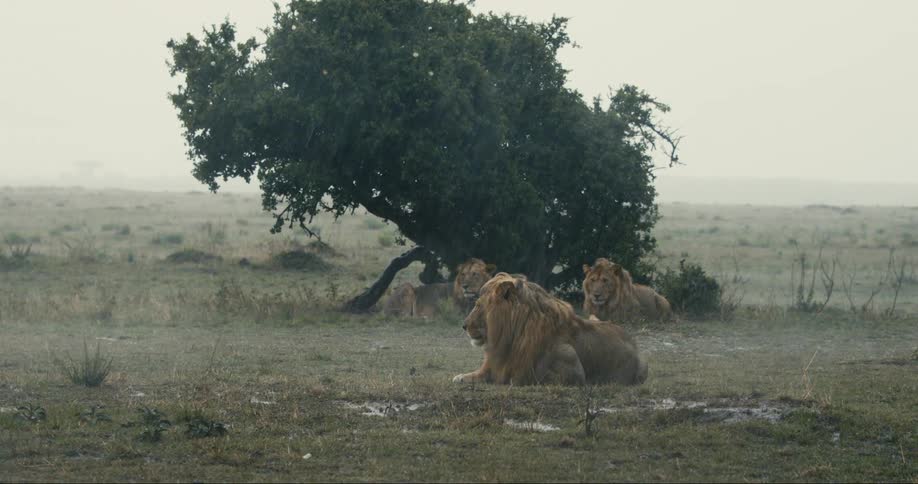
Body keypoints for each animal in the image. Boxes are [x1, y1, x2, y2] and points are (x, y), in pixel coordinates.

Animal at [453, 273, 647, 386]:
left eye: (478, 305)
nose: (463, 325)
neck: (510, 337)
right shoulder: (495, 363)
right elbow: (473, 375)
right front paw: (460, 377)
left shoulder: (574, 370)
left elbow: (530, 376)